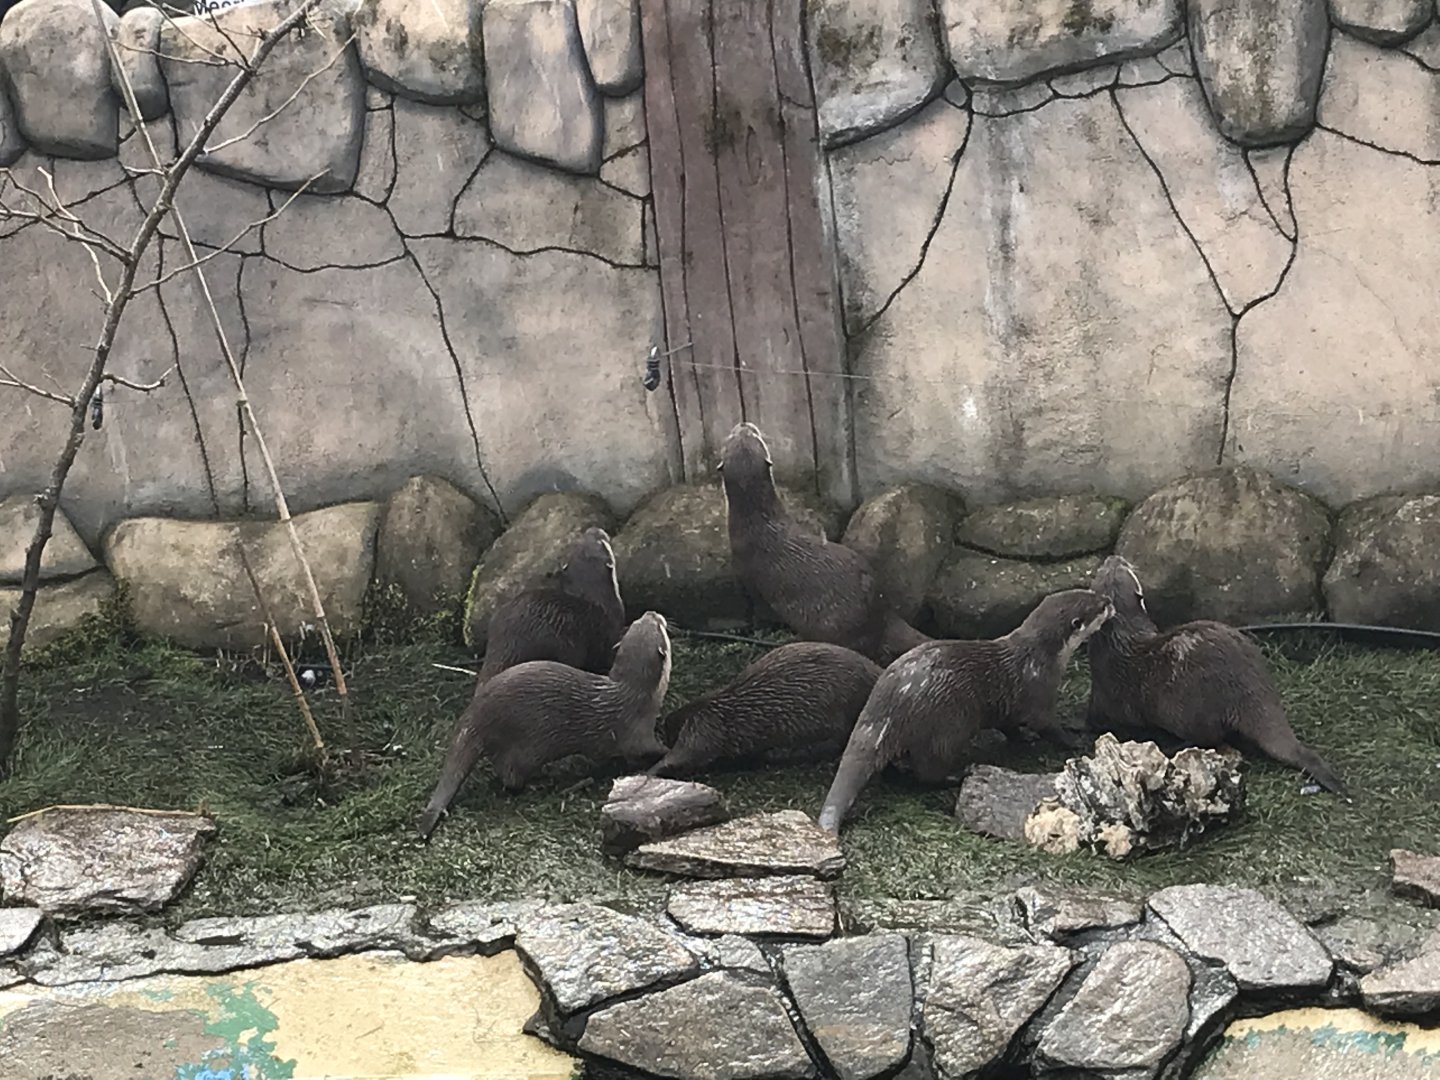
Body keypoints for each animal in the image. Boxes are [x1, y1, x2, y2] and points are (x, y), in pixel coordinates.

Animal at [417, 611, 672, 840]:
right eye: (659, 627)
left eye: (640, 621)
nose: (653, 613)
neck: (634, 695)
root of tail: (475, 718)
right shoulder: (636, 731)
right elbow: (645, 749)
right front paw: (666, 750)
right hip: (526, 748)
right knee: (509, 773)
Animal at [816, 589, 1115, 834]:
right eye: (1097, 606)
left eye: (1090, 591)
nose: (1109, 600)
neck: (1041, 656)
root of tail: (889, 704)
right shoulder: (1039, 693)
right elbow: (1047, 725)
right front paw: (1074, 742)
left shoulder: (1010, 709)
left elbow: (1010, 726)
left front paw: (1023, 738)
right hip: (950, 723)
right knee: (929, 770)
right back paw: (957, 774)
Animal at [1085, 554, 1347, 795]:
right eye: (1103, 568)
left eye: (1123, 566)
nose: (1114, 556)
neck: (1117, 638)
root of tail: (1249, 689)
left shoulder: (1103, 694)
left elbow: (1096, 718)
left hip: (1187, 711)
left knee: (1208, 738)